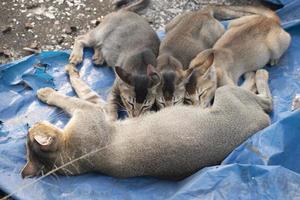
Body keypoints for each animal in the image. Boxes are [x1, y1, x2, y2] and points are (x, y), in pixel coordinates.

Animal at [21, 64, 272, 180]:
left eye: (31, 132)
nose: (32, 124)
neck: (66, 156)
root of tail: (263, 124)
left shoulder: (97, 111)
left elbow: (75, 93)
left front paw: (49, 89)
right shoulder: (97, 110)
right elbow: (76, 95)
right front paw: (48, 91)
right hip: (227, 94)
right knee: (267, 101)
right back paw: (258, 74)